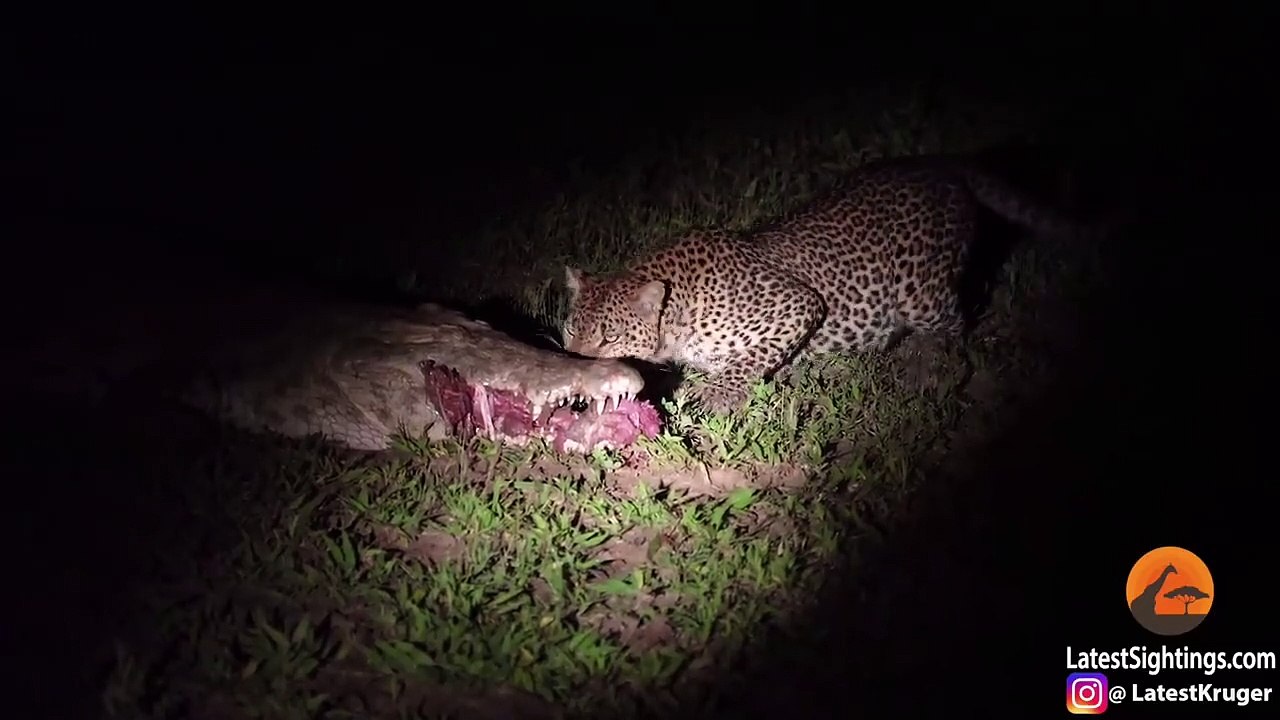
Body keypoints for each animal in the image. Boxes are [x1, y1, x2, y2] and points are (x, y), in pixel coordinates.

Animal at [559, 153, 1118, 413]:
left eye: (609, 337)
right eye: (570, 332)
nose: (577, 373)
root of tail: (934, 161)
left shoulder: (796, 305)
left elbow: (748, 361)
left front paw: (720, 395)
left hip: (922, 295)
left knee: (954, 325)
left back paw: (928, 365)